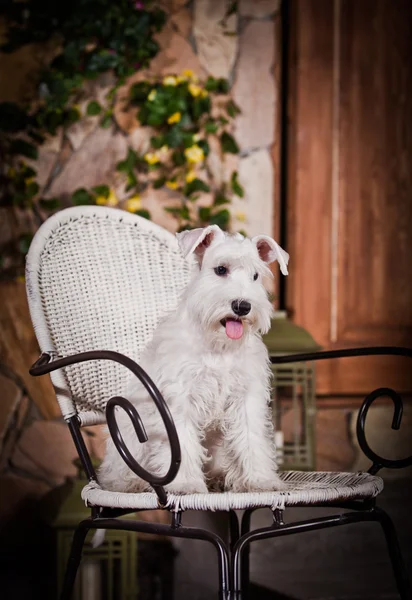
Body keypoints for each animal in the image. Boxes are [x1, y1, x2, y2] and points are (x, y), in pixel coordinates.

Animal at [98, 223, 288, 494]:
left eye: (255, 275)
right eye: (221, 269)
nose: (242, 306)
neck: (218, 346)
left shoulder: (245, 397)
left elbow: (251, 440)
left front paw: (260, 480)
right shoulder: (180, 399)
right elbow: (184, 442)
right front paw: (185, 483)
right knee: (119, 473)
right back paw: (135, 482)